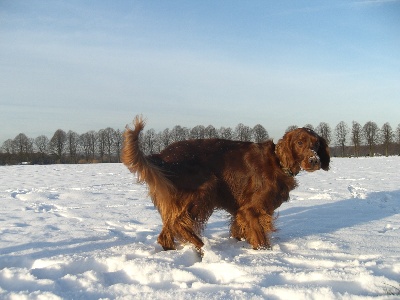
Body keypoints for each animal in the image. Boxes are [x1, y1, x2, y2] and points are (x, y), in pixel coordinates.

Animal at [122, 116, 332, 251]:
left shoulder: (244, 211)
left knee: (166, 232)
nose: (314, 161)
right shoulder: (250, 209)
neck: (278, 163)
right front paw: (265, 255)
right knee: (178, 222)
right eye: (299, 143)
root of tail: (161, 155)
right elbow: (259, 235)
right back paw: (201, 246)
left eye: (316, 144)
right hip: (205, 189)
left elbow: (240, 229)